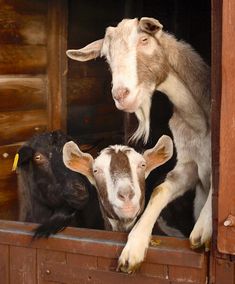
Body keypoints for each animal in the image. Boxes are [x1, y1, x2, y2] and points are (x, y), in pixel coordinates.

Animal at [66, 17, 213, 272]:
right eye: (106, 56)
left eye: (144, 40)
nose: (121, 95)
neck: (197, 117)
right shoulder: (188, 166)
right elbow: (160, 190)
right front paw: (134, 246)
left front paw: (203, 227)